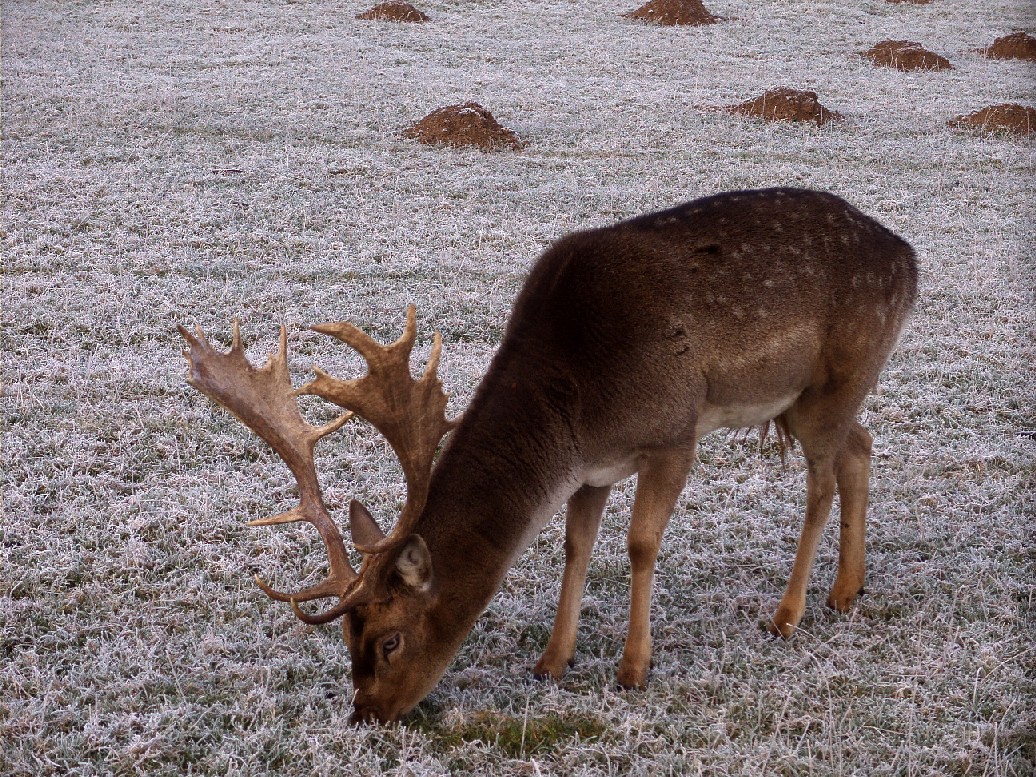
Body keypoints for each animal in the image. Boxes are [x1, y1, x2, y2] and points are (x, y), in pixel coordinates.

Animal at [178, 187, 915, 725]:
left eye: (389, 640)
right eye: (345, 637)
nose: (366, 714)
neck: (579, 409)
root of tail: (909, 258)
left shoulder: (673, 432)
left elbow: (641, 544)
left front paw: (632, 668)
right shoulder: (593, 469)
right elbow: (575, 544)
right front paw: (552, 660)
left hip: (836, 377)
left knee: (821, 479)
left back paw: (789, 613)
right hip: (807, 398)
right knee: (860, 446)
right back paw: (846, 590)